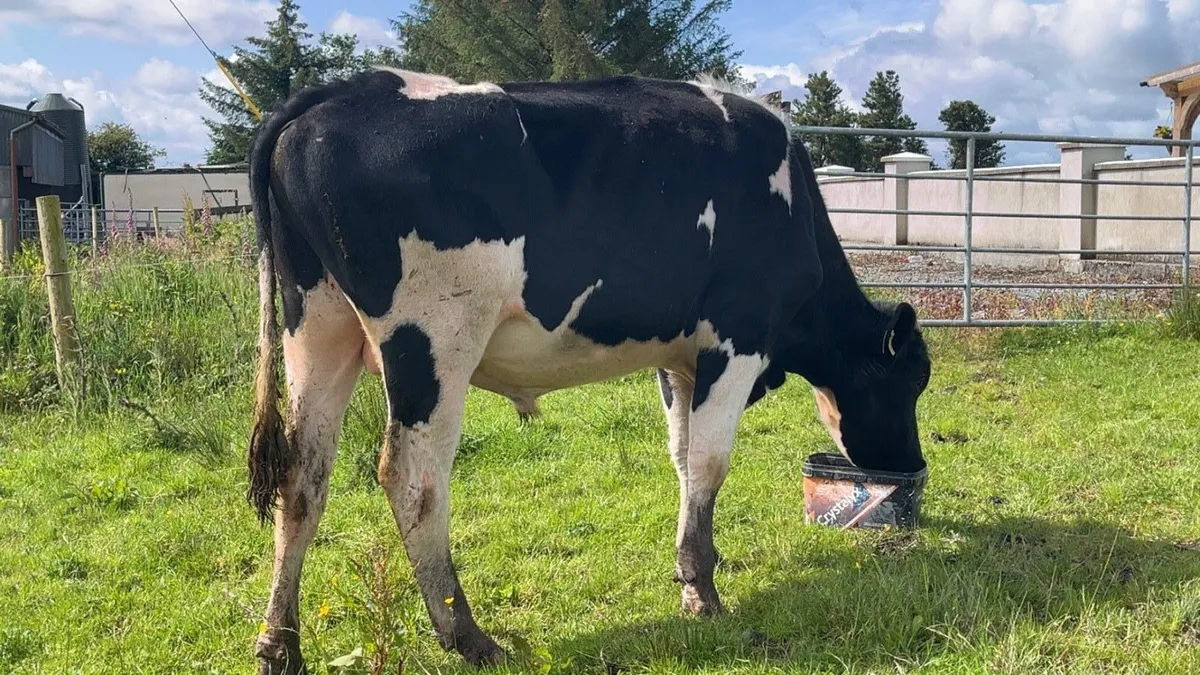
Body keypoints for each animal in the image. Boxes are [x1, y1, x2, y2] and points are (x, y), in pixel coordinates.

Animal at [245, 67, 931, 674]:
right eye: (911, 382)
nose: (913, 464)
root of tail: (334, 95)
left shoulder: (680, 360)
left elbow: (683, 458)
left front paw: (690, 578)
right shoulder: (738, 338)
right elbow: (710, 462)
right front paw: (706, 595)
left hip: (318, 327)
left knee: (301, 476)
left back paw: (280, 645)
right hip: (433, 336)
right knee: (412, 478)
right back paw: (470, 637)